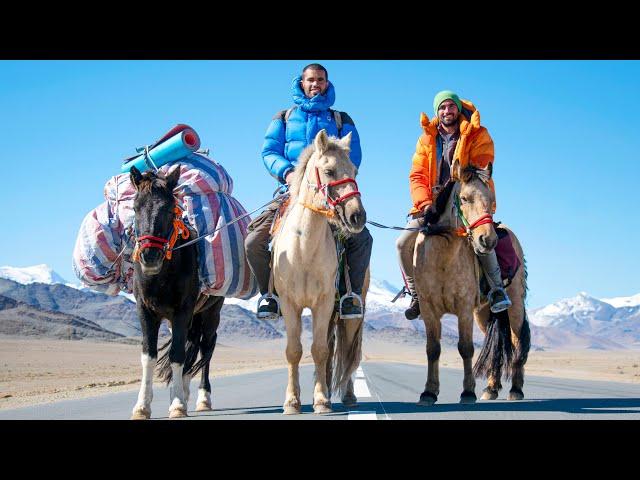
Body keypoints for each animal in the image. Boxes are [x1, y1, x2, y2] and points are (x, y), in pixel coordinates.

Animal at [127, 166, 225, 420]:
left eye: (170, 208)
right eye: (135, 207)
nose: (150, 257)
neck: (161, 276)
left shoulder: (182, 312)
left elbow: (178, 355)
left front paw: (178, 405)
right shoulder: (145, 312)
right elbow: (149, 356)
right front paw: (142, 406)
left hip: (210, 314)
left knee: (205, 348)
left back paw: (201, 398)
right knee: (191, 347)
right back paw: (182, 391)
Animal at [272, 129, 370, 414]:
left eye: (354, 170)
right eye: (329, 171)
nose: (357, 217)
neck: (303, 250)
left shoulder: (324, 303)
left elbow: (320, 350)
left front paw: (322, 400)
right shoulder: (290, 304)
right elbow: (294, 350)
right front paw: (292, 402)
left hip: (352, 311)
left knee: (350, 352)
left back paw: (348, 395)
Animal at [416, 161, 528, 404]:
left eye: (491, 199)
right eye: (465, 198)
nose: (487, 240)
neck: (443, 259)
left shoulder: (464, 308)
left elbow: (465, 348)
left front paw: (467, 392)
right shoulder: (428, 309)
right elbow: (432, 349)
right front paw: (429, 392)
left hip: (514, 306)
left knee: (517, 343)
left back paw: (516, 390)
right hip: (484, 313)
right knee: (495, 345)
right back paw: (491, 389)